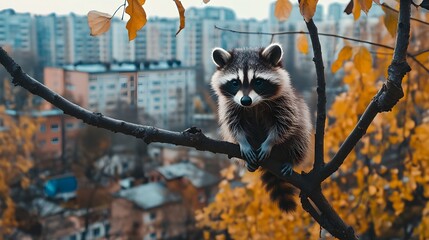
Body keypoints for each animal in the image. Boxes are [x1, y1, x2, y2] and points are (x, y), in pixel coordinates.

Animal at [210, 43, 310, 212]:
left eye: (258, 82)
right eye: (235, 82)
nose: (245, 100)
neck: (254, 105)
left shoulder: (285, 101)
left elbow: (285, 123)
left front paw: (269, 142)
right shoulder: (230, 105)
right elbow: (233, 125)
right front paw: (243, 142)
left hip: (301, 128)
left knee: (298, 139)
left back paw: (290, 159)